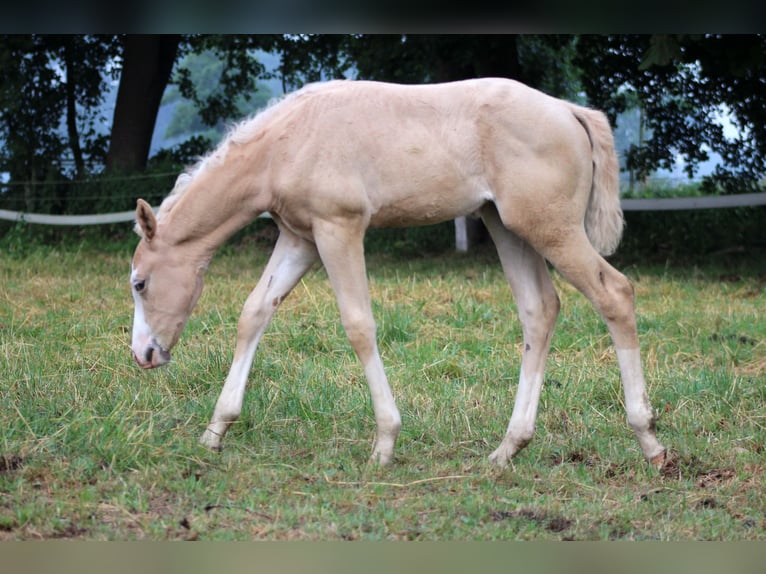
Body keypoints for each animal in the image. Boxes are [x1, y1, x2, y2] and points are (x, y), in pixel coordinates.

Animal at [130, 78, 668, 469]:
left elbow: (358, 324)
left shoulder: (339, 228)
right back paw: (508, 448)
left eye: (140, 283)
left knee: (614, 293)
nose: (144, 355)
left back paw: (649, 440)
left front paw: (385, 443)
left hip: (551, 228)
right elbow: (254, 313)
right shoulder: (300, 237)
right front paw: (214, 431)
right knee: (540, 310)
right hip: (507, 226)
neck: (287, 141)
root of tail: (569, 110)